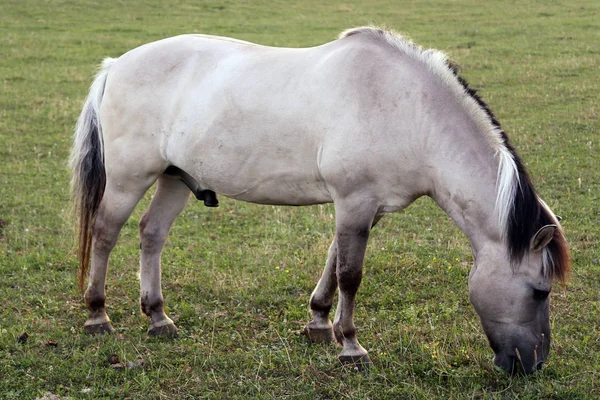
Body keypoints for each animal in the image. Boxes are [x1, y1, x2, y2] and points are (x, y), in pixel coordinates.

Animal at [70, 28, 568, 376]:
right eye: (539, 290)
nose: (534, 364)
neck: (409, 110)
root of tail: (117, 65)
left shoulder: (365, 209)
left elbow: (333, 264)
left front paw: (318, 324)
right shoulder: (354, 202)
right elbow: (350, 275)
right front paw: (351, 346)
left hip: (175, 179)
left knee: (151, 234)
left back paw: (158, 318)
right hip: (129, 178)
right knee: (105, 233)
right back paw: (97, 315)